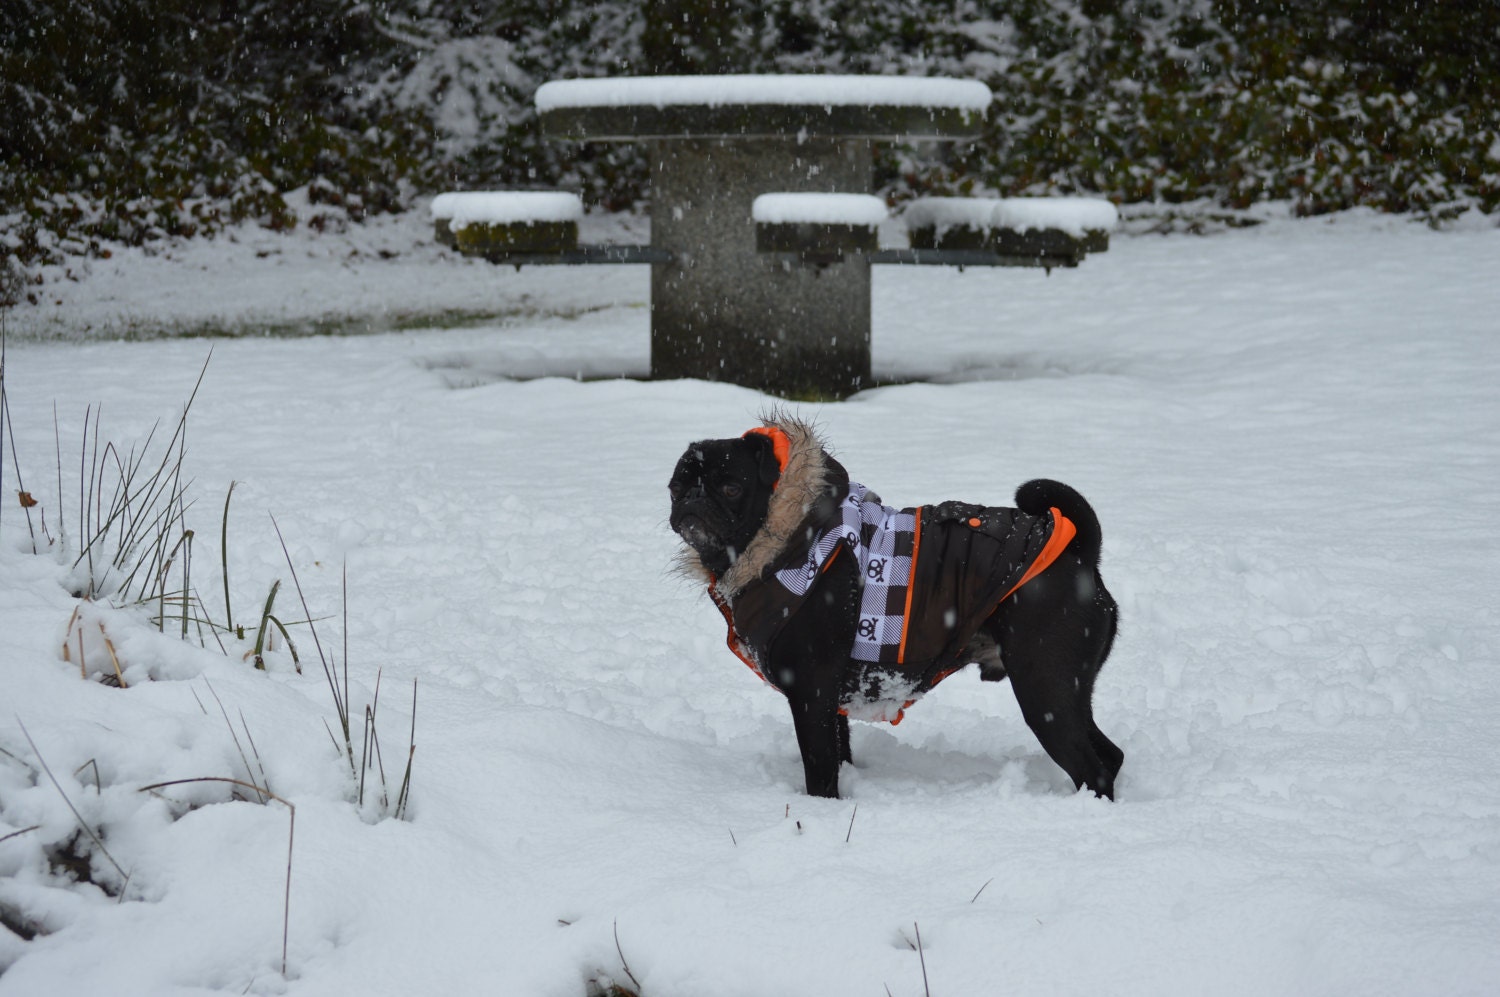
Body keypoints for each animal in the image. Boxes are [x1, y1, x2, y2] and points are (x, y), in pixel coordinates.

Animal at [672, 416, 1128, 797]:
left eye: (731, 488)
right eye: (676, 487)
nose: (691, 500)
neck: (786, 542)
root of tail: (1082, 557)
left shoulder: (811, 693)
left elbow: (820, 769)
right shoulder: (829, 702)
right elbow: (839, 754)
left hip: (1044, 693)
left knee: (1092, 768)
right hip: (1069, 693)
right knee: (1110, 753)